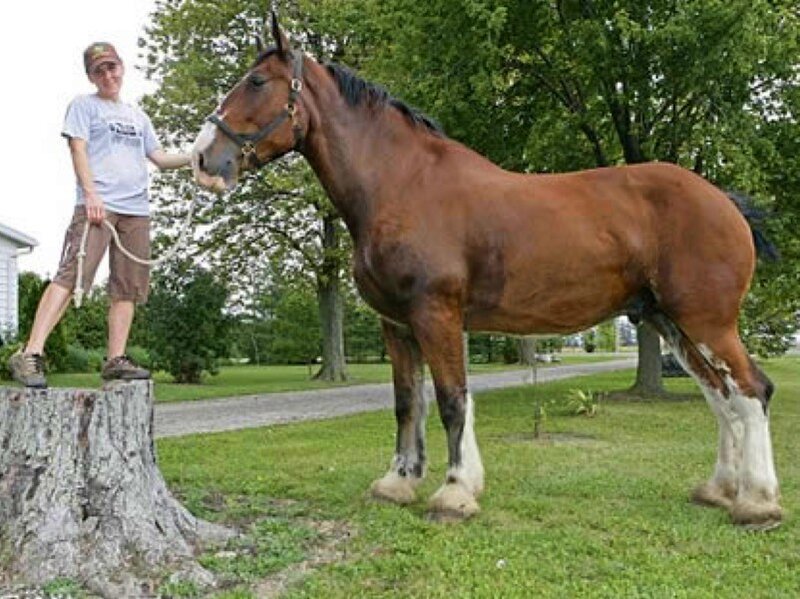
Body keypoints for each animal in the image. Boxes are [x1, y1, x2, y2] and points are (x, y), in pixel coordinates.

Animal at [192, 13, 782, 530]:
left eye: (256, 81)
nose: (203, 158)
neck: (402, 184)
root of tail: (725, 202)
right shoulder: (396, 324)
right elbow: (407, 403)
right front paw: (398, 482)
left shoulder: (437, 314)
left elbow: (453, 401)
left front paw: (454, 493)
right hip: (671, 323)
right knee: (722, 398)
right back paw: (719, 490)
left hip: (706, 322)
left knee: (752, 391)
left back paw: (757, 504)